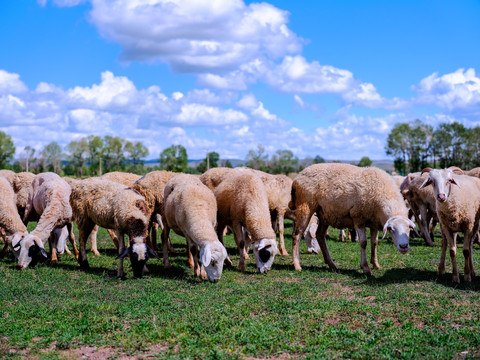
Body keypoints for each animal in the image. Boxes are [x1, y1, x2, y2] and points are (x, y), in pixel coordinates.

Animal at [288, 163, 416, 272]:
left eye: (409, 229)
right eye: (391, 230)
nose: (404, 247)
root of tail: (298, 176)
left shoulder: (374, 222)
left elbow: (374, 243)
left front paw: (375, 264)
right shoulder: (358, 217)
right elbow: (363, 243)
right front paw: (365, 268)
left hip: (324, 213)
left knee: (320, 235)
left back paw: (331, 264)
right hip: (305, 206)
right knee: (297, 234)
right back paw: (297, 265)